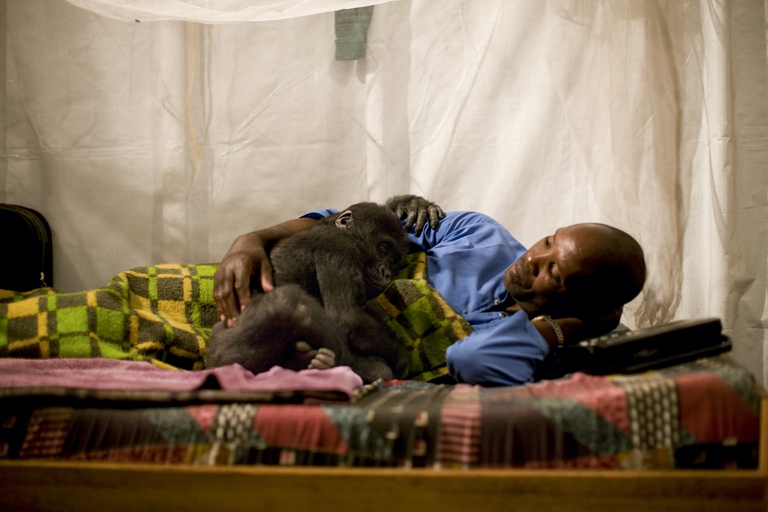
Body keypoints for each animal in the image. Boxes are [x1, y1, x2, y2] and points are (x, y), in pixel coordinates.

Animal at [205, 201, 412, 383]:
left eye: (393, 261)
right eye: (382, 248)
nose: (386, 273)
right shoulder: (340, 246)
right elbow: (348, 316)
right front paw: (400, 359)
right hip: (222, 355)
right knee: (290, 304)